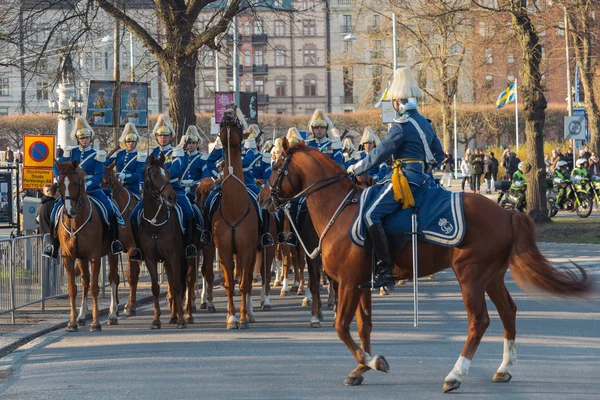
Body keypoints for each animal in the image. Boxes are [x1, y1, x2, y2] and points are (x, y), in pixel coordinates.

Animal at [54, 159, 120, 332]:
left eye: (76, 183)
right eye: (60, 183)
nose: (69, 211)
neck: (76, 221)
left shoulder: (95, 257)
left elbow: (95, 288)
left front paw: (96, 322)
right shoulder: (68, 257)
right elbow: (73, 288)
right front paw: (72, 323)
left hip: (112, 253)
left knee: (113, 278)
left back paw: (112, 314)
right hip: (82, 258)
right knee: (85, 281)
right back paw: (82, 316)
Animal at [103, 162, 142, 316]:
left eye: (106, 182)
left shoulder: (132, 248)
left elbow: (131, 276)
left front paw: (130, 306)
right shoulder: (112, 249)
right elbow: (114, 276)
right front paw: (115, 306)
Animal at [138, 153, 188, 328]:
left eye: (168, 173)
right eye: (154, 175)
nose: (172, 197)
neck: (155, 225)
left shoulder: (174, 256)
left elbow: (178, 286)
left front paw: (181, 319)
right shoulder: (150, 258)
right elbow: (156, 288)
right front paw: (156, 319)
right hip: (166, 262)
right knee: (171, 284)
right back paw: (172, 315)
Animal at [260, 141, 592, 390]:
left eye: (276, 167)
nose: (264, 199)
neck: (339, 208)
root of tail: (507, 212)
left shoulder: (349, 283)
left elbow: (341, 327)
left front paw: (372, 362)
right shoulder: (361, 283)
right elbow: (363, 326)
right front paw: (362, 367)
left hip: (470, 275)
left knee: (479, 321)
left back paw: (456, 374)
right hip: (492, 277)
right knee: (508, 312)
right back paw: (504, 368)